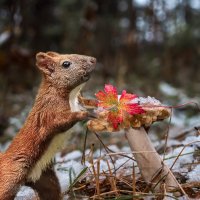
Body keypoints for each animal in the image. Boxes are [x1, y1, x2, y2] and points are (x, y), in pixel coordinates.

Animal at [0, 51, 96, 198]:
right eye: (66, 64)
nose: (93, 60)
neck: (71, 96)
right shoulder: (49, 112)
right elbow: (61, 122)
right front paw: (84, 114)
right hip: (11, 176)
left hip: (46, 179)